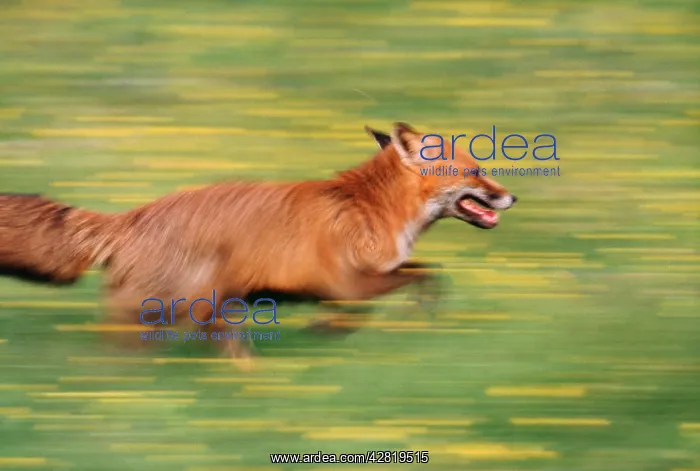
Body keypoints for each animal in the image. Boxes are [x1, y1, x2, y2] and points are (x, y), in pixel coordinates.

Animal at [0, 122, 517, 364]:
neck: (374, 208)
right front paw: (330, 329)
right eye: (475, 172)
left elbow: (424, 272)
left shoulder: (355, 282)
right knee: (117, 351)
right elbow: (408, 282)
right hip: (173, 307)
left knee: (217, 343)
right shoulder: (348, 284)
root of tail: (132, 215)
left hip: (209, 307)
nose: (511, 197)